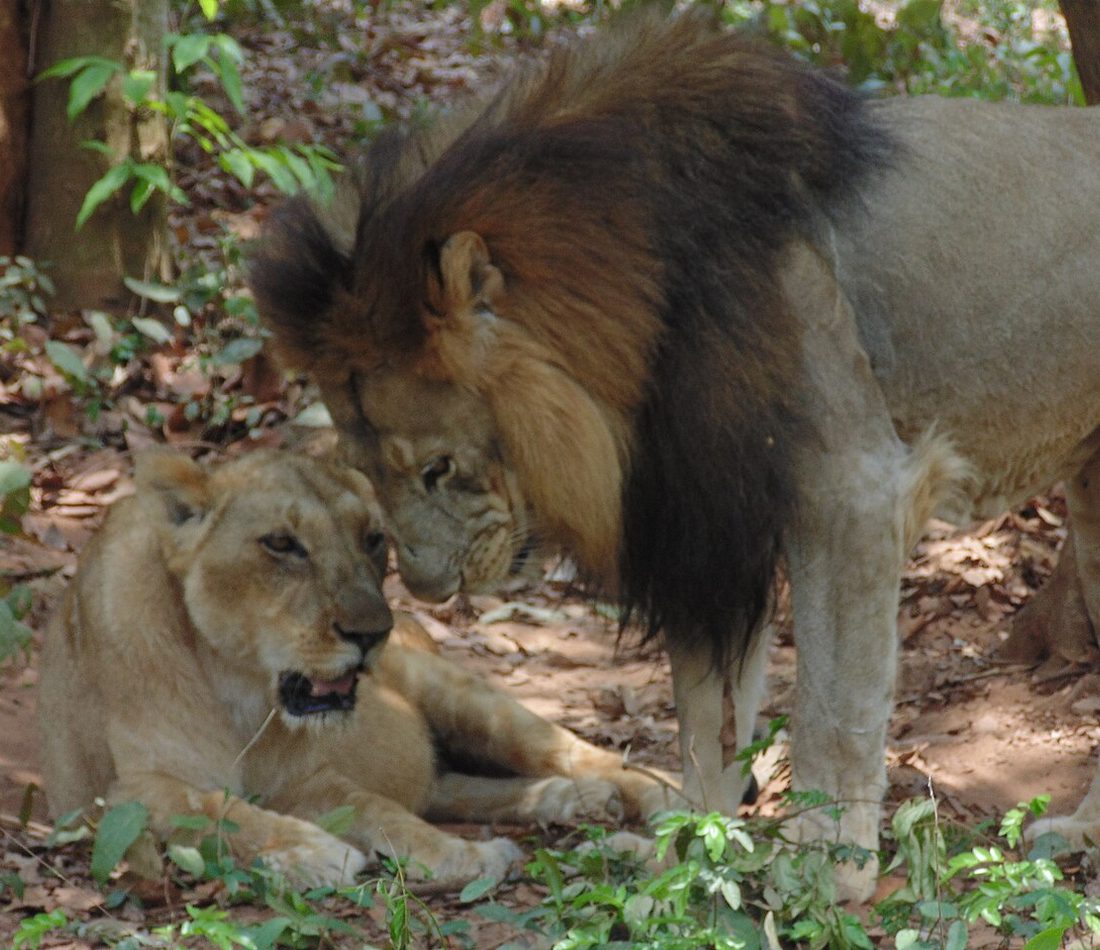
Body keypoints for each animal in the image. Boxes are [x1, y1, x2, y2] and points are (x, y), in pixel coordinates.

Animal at [37, 449, 672, 889]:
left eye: (372, 539)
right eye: (281, 544)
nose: (371, 633)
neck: (240, 686)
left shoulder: (306, 778)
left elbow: (379, 808)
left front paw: (466, 857)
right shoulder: (121, 792)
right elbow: (216, 808)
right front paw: (317, 852)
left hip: (462, 697)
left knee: (575, 754)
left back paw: (645, 799)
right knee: (451, 788)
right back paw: (571, 799)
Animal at [249, 11, 1100, 900]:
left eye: (437, 468)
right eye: (370, 475)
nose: (425, 591)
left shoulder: (850, 488)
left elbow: (833, 704)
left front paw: (823, 871)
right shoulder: (699, 513)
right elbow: (704, 713)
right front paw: (686, 855)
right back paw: (1082, 836)